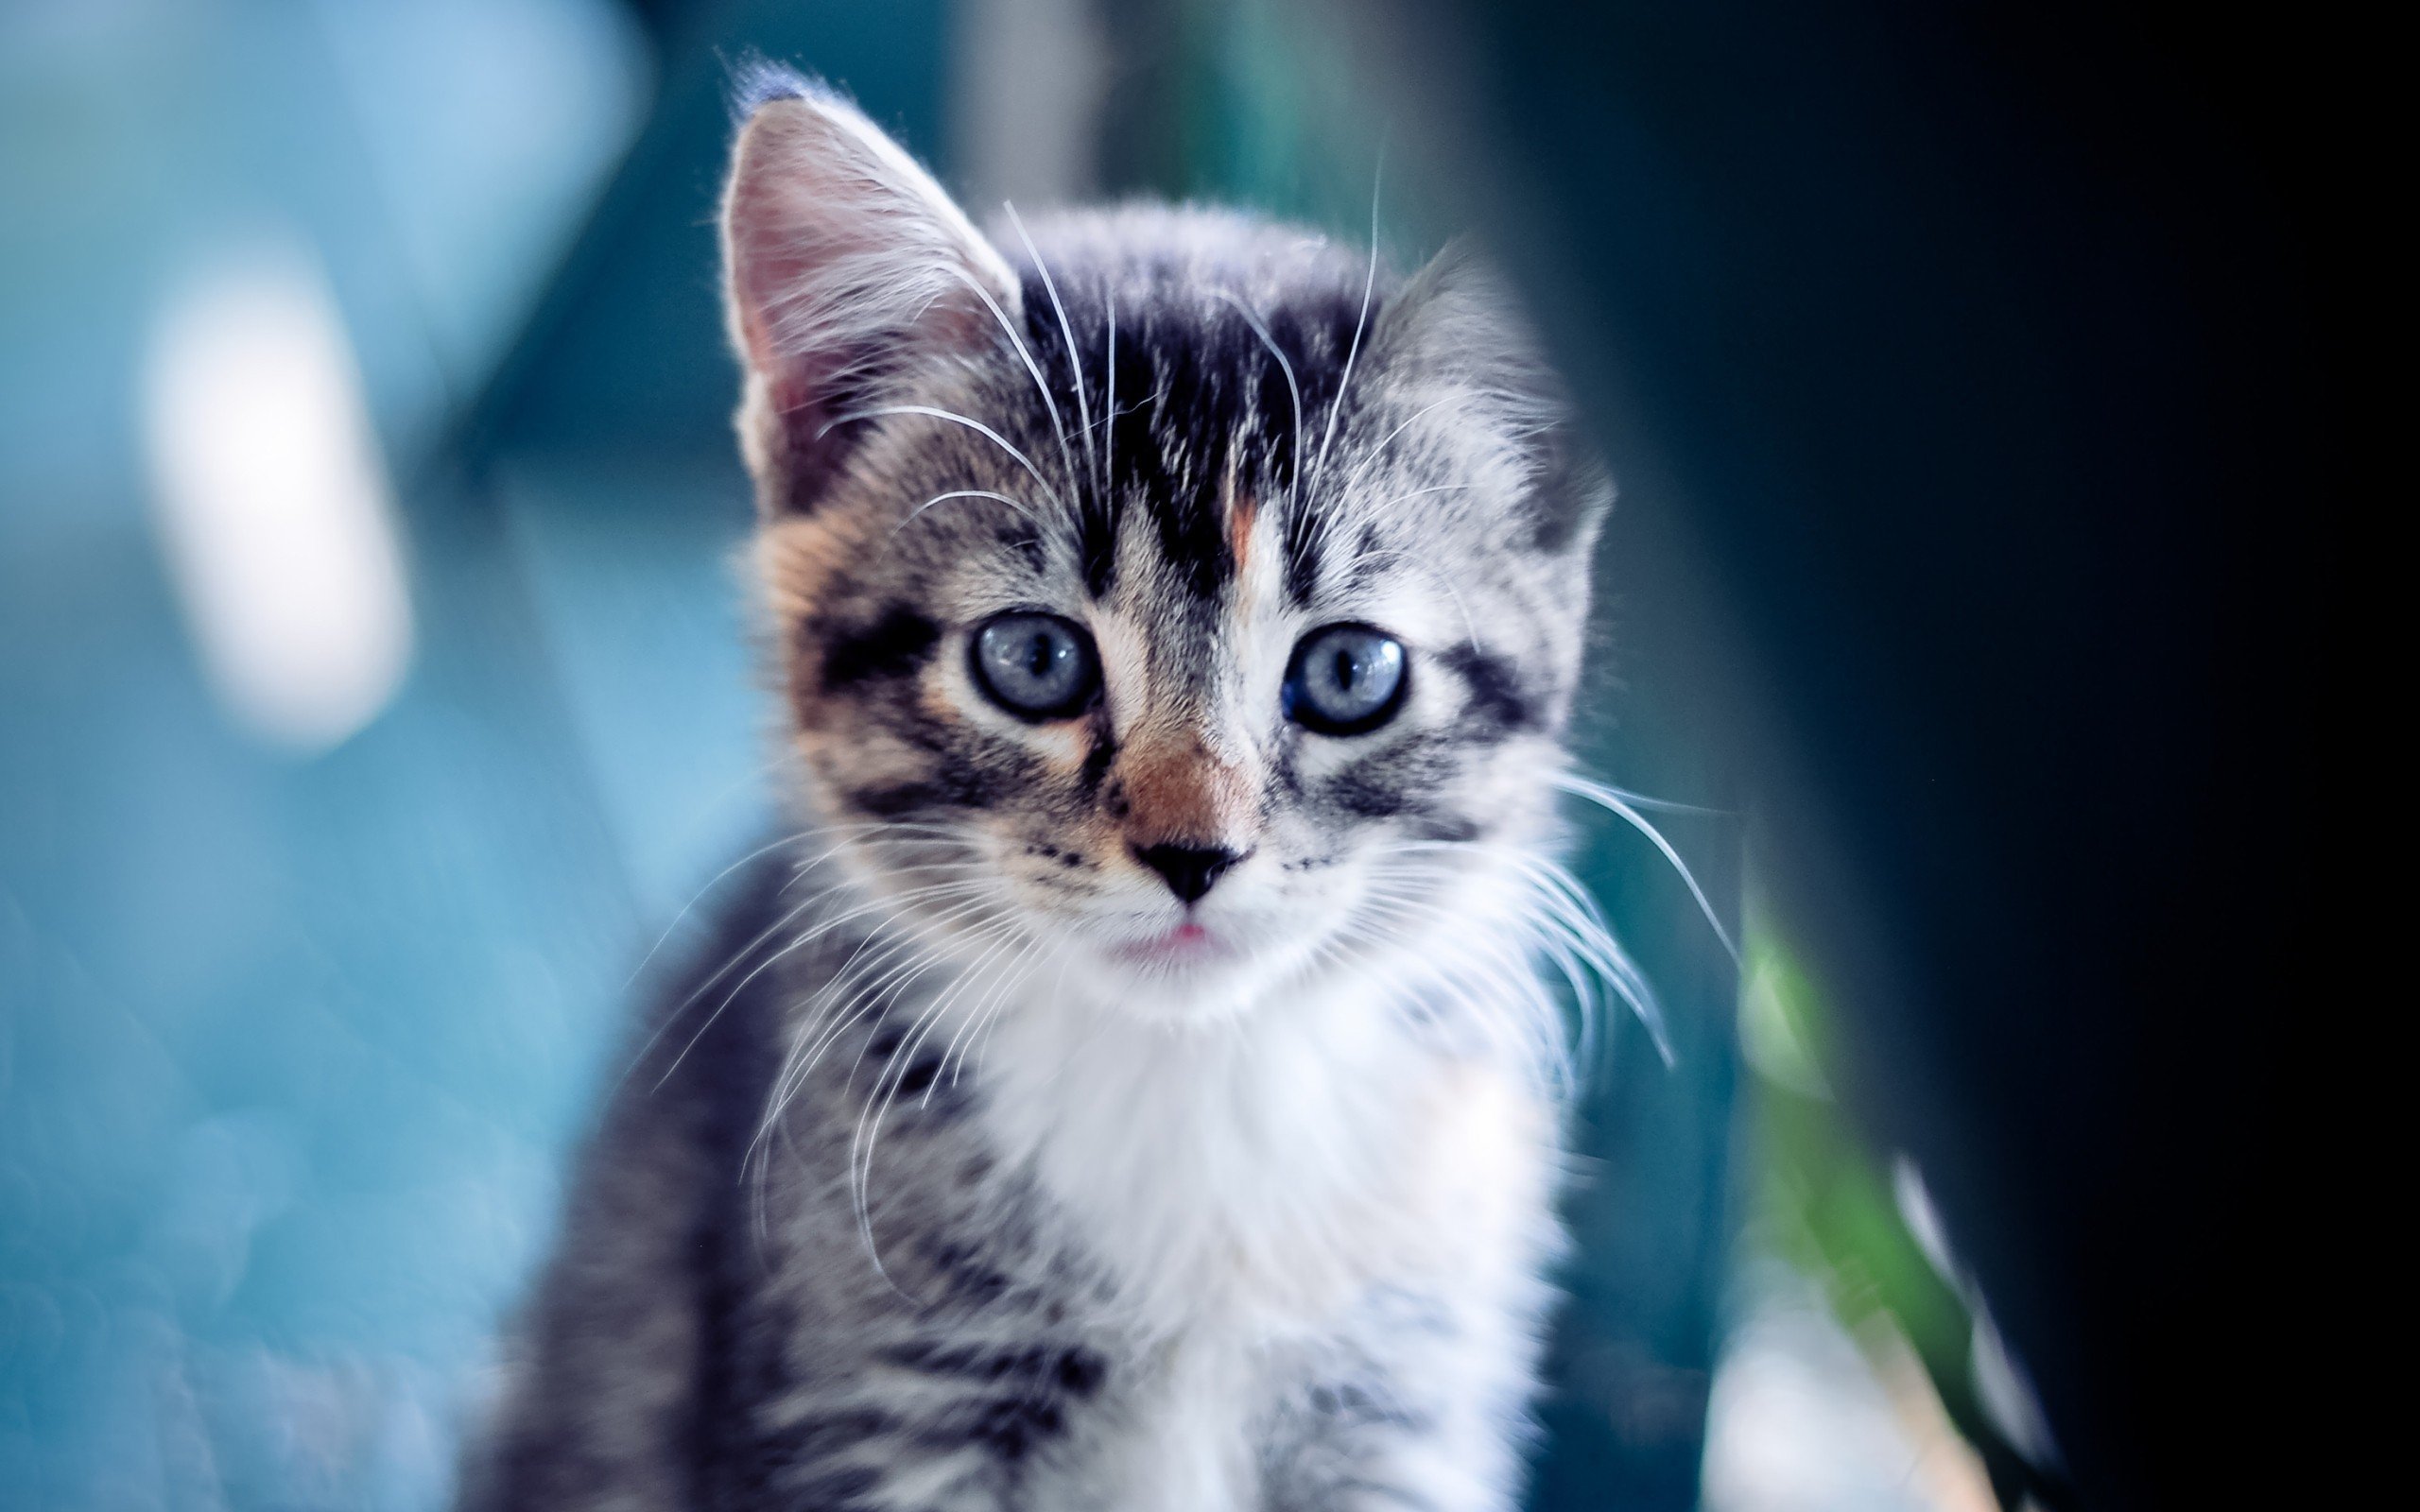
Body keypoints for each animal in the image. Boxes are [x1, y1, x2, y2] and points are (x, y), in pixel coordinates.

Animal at [461, 70, 1616, 1509]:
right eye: (1032, 659)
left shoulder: (1400, 1402)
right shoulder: (872, 1407)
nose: (1195, 853)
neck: (1193, 1091)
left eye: (1349, 670)